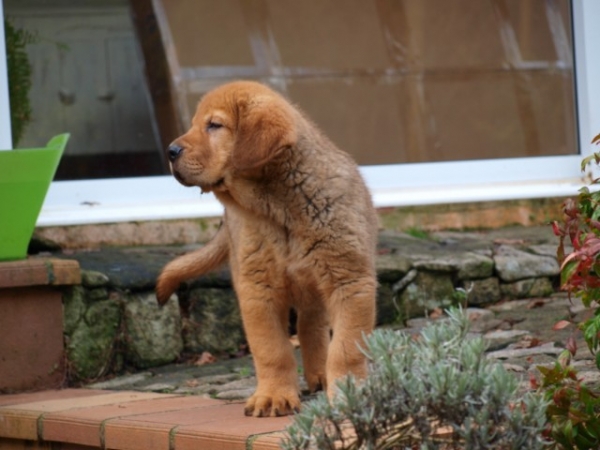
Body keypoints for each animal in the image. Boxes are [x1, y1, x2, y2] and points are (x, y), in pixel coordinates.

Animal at [157, 80, 378, 414]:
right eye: (194, 124)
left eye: (214, 125)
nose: (170, 151)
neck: (278, 212)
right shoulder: (257, 289)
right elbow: (272, 349)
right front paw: (274, 395)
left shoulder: (350, 281)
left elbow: (346, 347)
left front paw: (347, 392)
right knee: (309, 325)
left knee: (312, 326)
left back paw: (320, 376)